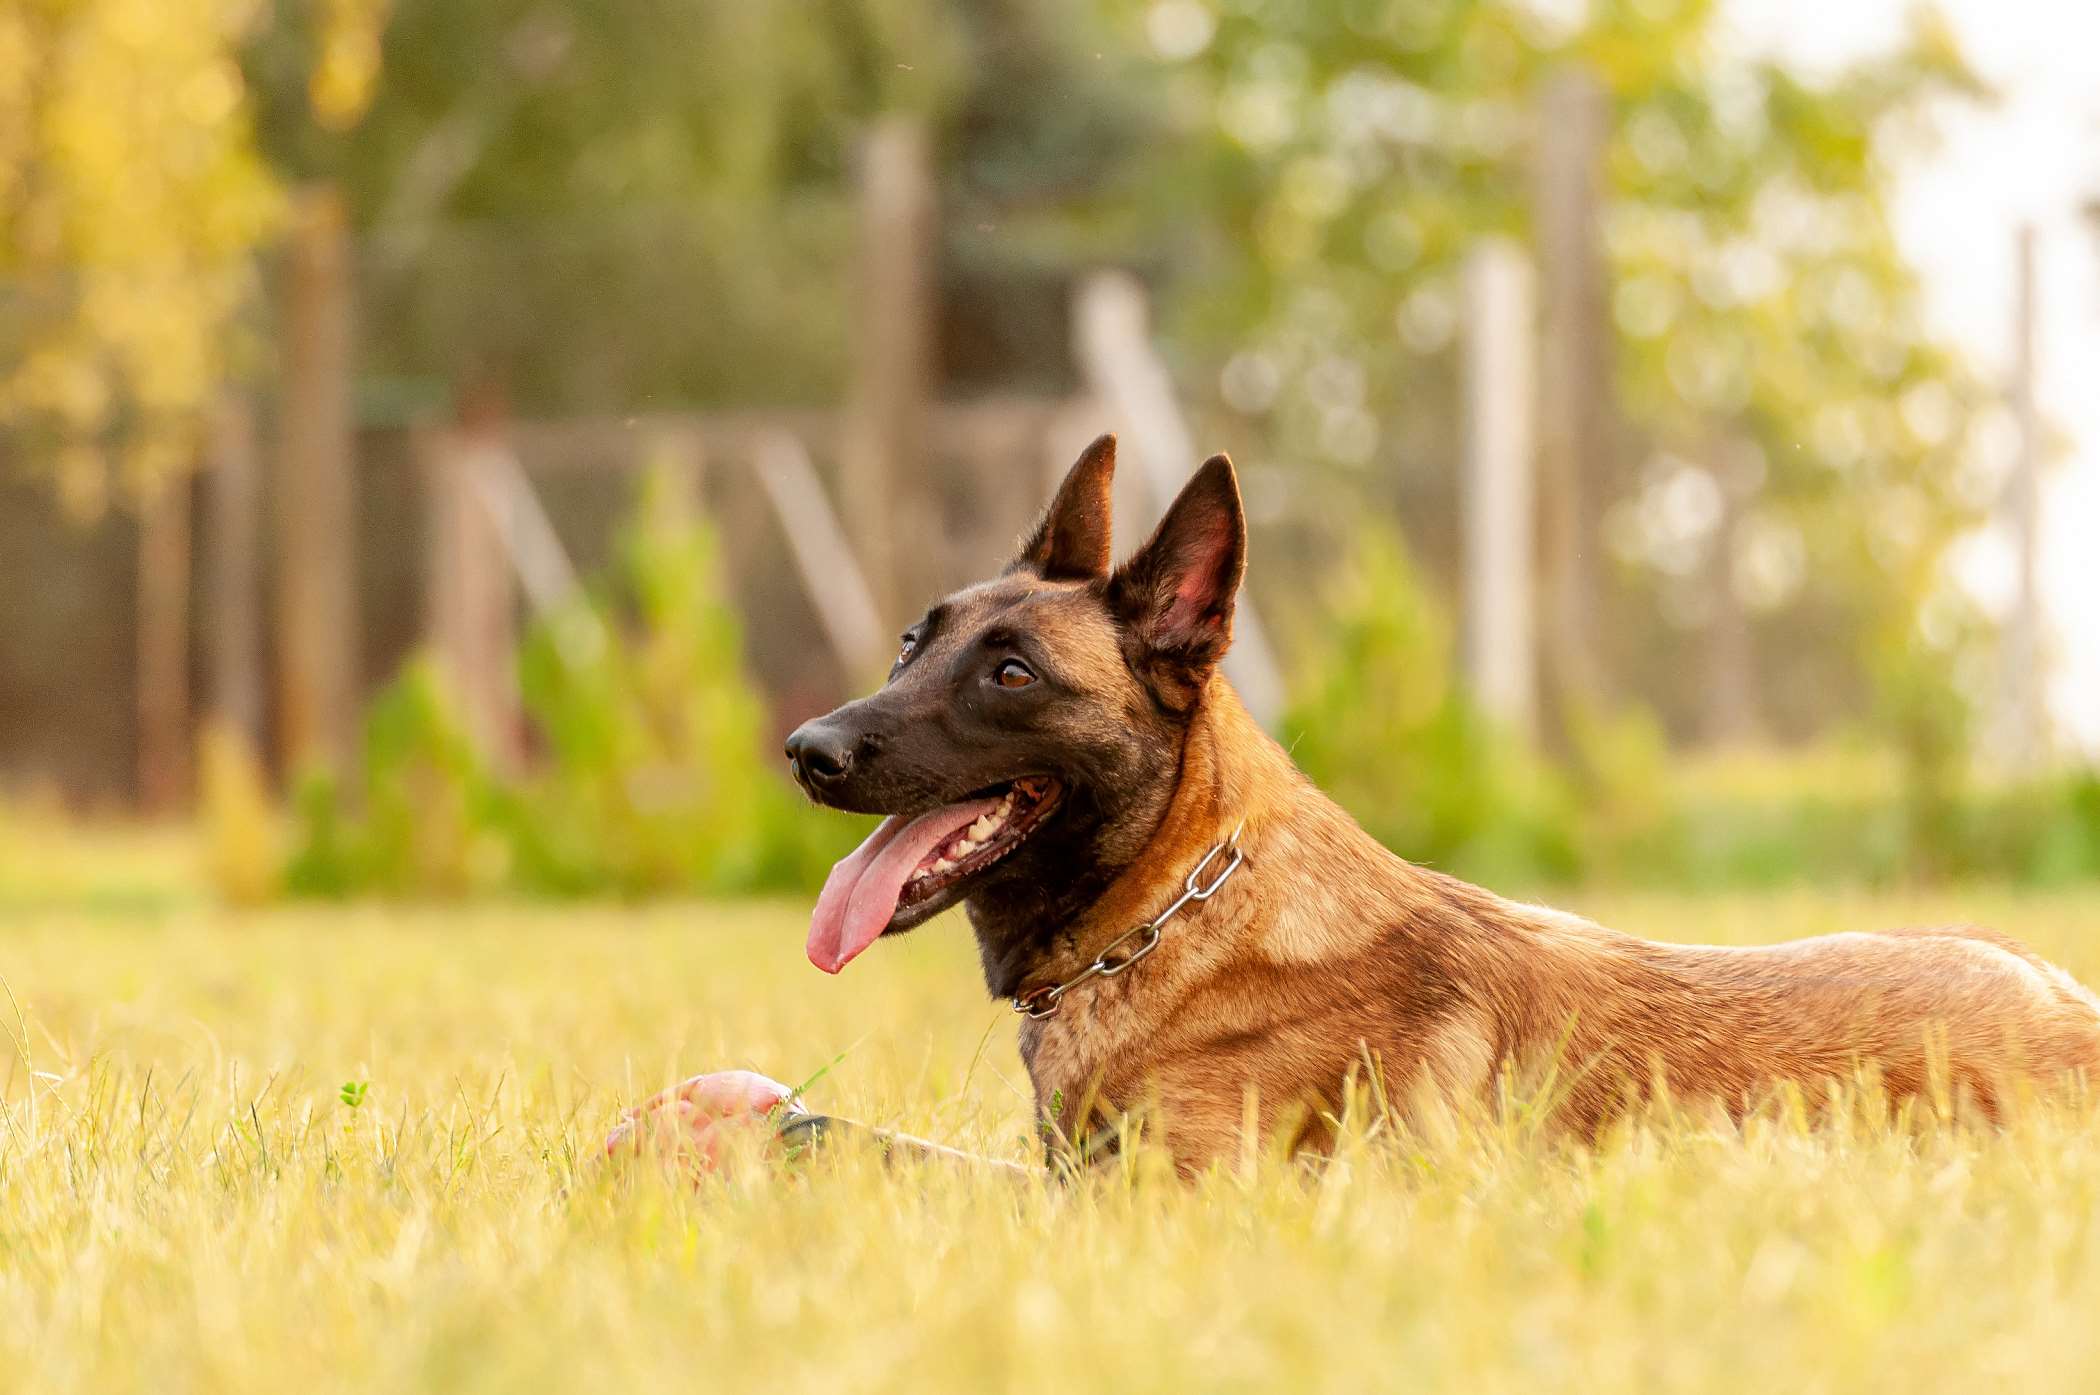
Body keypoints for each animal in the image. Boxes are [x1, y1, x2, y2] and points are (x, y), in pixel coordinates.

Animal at [613, 439, 2100, 1176]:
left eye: (1012, 672)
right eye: (909, 645)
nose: (806, 749)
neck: (1170, 915)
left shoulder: (1171, 1201)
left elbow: (910, 1162)